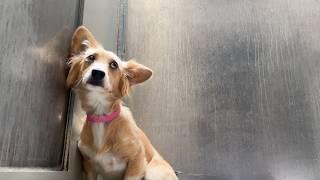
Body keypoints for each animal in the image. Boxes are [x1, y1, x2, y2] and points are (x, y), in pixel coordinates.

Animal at [66, 25, 179, 180]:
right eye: (91, 57)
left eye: (114, 65)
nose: (97, 73)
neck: (101, 117)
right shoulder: (89, 166)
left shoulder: (138, 161)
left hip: (153, 172)